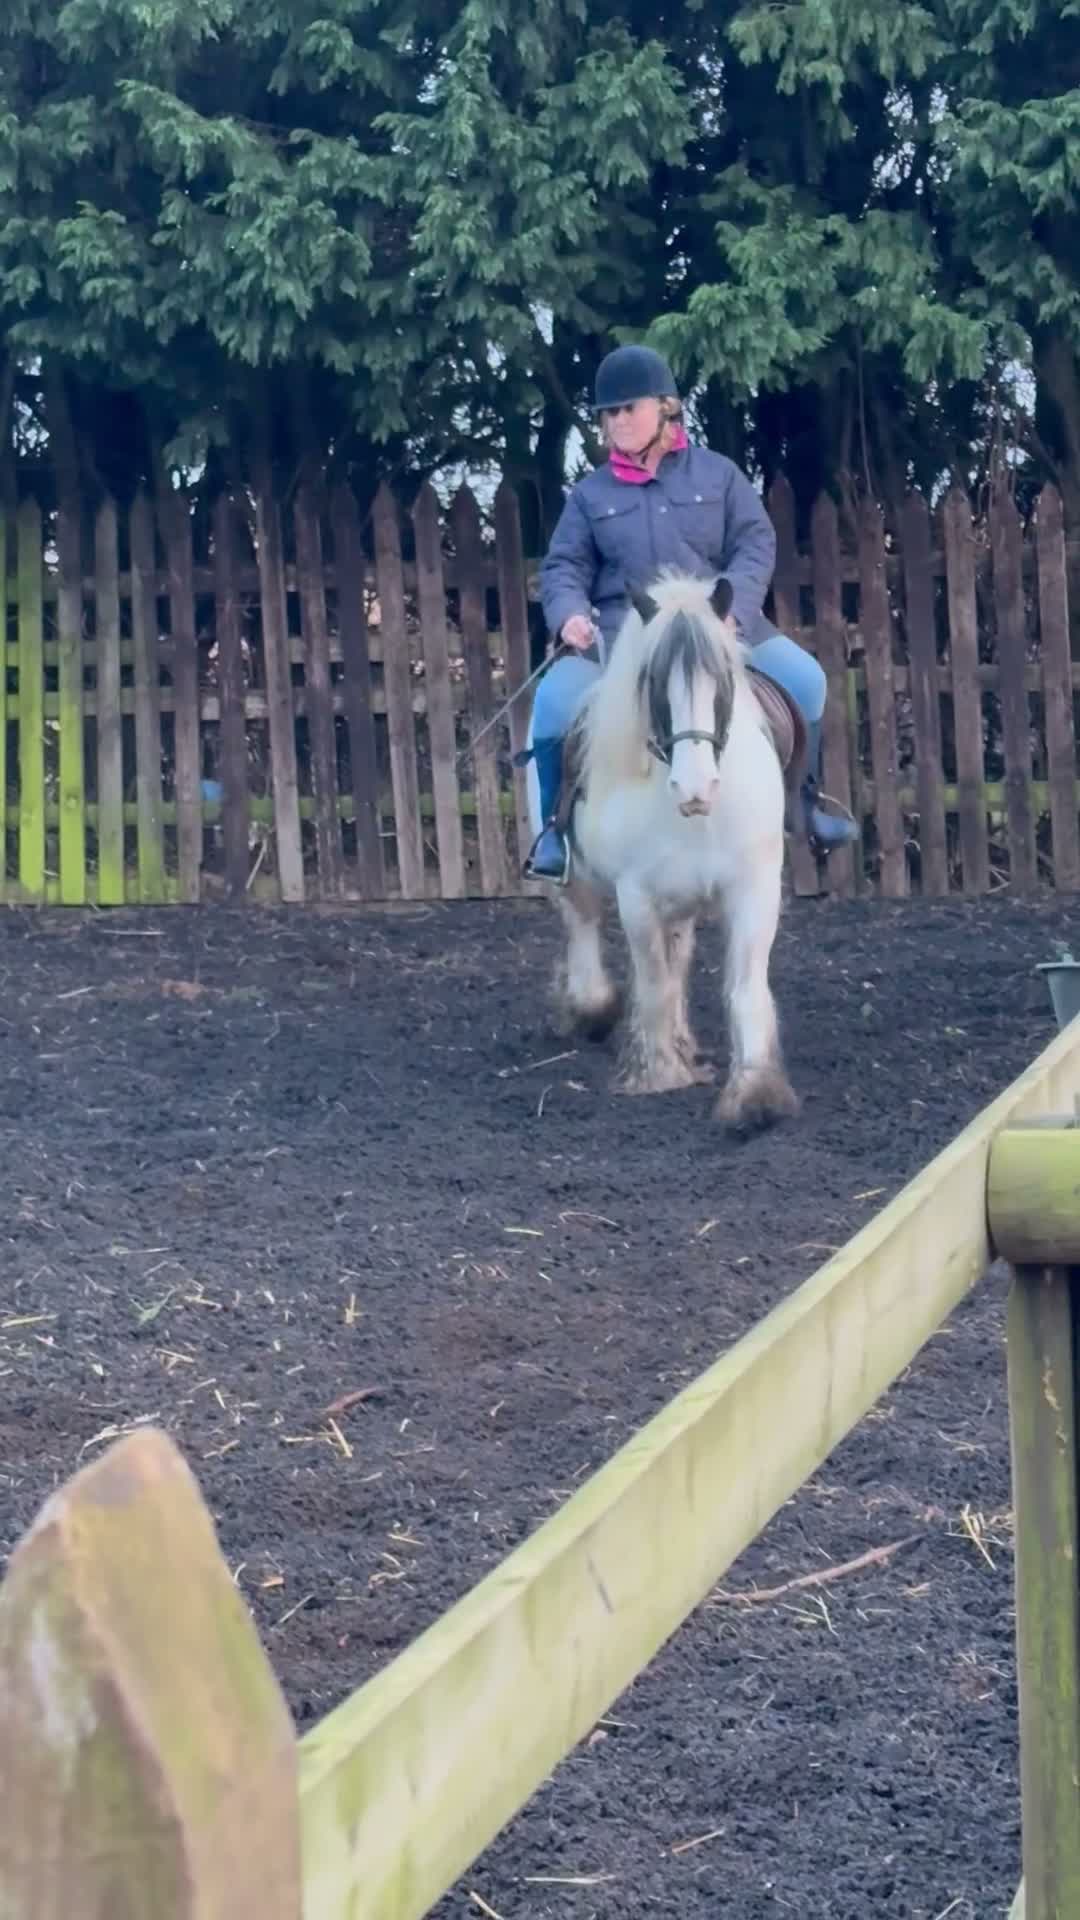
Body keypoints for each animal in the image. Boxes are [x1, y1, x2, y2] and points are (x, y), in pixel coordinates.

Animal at [524, 569, 799, 1136]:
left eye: (723, 680)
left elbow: (745, 984)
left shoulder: (755, 888)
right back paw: (595, 1010)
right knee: (585, 927)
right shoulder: (638, 896)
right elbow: (652, 977)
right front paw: (658, 1071)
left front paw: (755, 1093)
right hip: (580, 884)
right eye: (653, 684)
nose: (696, 787)